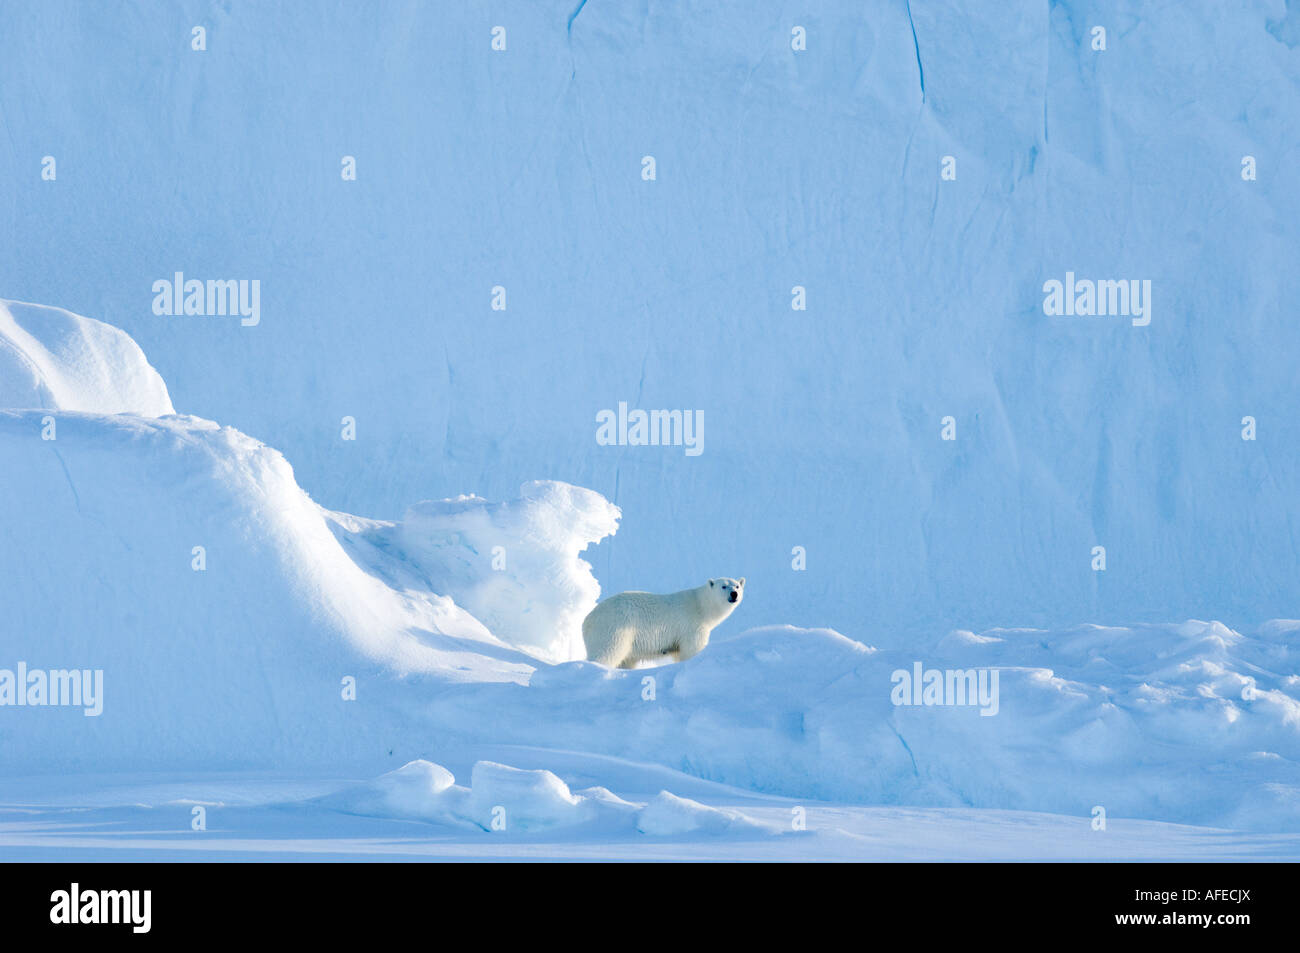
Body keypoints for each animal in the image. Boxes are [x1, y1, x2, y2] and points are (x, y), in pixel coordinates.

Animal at [585, 577, 748, 665]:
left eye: (737, 585)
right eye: (724, 586)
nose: (734, 594)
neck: (700, 606)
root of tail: (587, 620)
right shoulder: (692, 626)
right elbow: (693, 650)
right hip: (615, 628)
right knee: (607, 651)